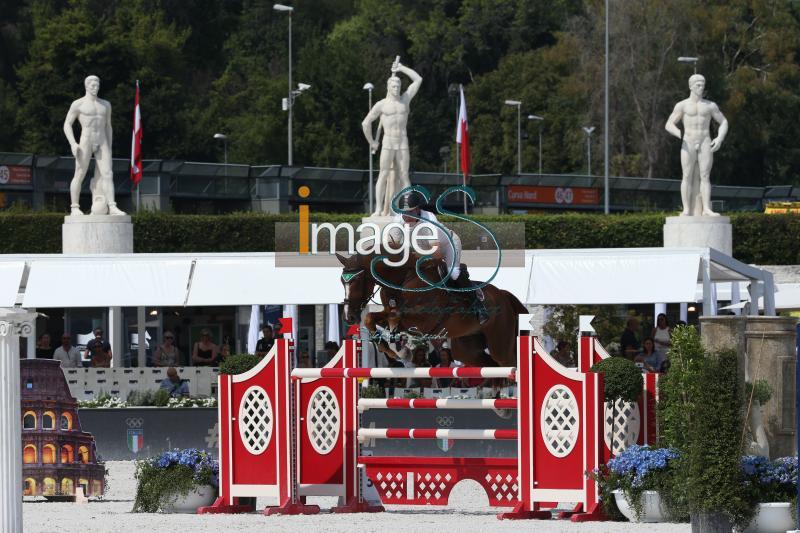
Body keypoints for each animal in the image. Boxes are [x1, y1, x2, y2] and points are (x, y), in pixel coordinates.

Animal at [336, 249, 528, 366]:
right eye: (342, 281)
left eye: (357, 280)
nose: (348, 317)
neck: (402, 280)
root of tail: (504, 295)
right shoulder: (388, 312)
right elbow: (372, 318)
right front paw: (393, 350)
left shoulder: (424, 320)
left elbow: (395, 316)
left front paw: (401, 349)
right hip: (467, 348)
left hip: (500, 344)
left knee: (509, 362)